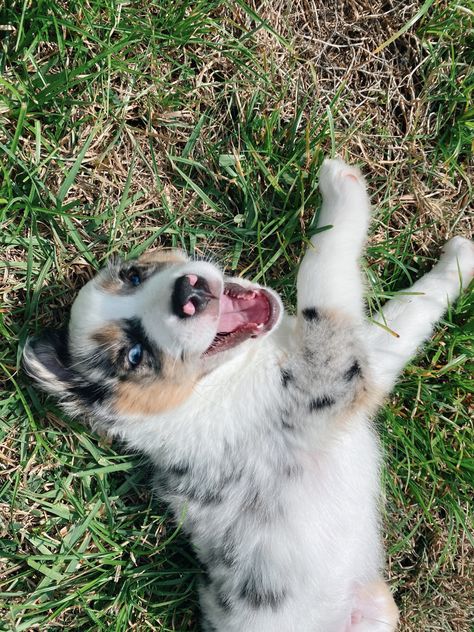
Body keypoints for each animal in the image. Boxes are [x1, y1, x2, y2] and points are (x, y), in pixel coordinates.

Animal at [23, 159, 474, 632]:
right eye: (133, 355)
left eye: (134, 275)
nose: (189, 292)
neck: (210, 389)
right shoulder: (330, 369)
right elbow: (323, 276)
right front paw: (339, 188)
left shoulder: (364, 358)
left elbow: (408, 312)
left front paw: (459, 260)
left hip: (379, 609)